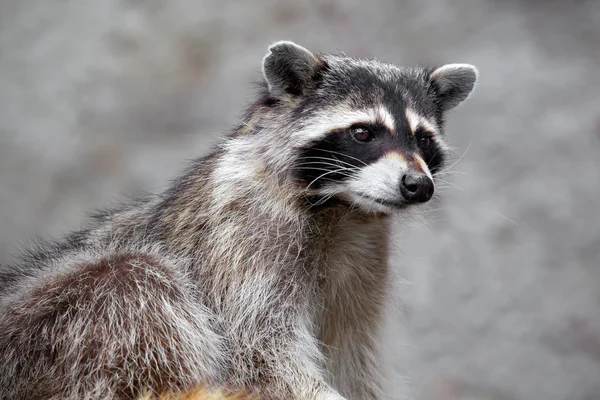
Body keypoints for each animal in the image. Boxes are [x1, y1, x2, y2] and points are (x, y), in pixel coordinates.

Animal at [0, 41, 478, 400]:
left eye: (422, 139)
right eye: (363, 132)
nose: (418, 184)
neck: (342, 207)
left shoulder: (362, 259)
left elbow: (349, 354)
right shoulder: (243, 234)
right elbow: (260, 349)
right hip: (57, 326)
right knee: (136, 279)